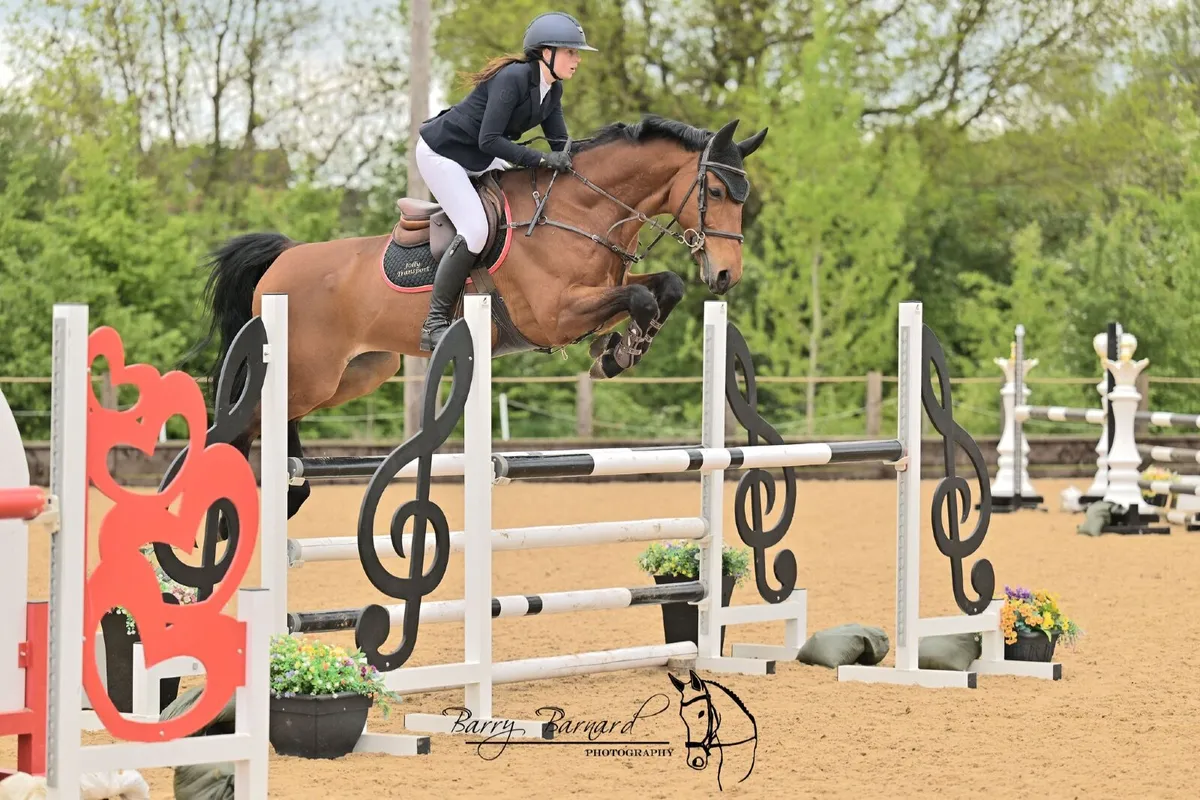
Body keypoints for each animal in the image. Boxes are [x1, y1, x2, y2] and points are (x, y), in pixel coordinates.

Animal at [188, 114, 767, 518]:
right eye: (716, 191)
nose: (726, 276)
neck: (579, 212)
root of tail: (282, 259)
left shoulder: (600, 295)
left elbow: (662, 288)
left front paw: (619, 350)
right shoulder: (555, 315)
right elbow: (642, 300)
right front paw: (617, 355)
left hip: (353, 374)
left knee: (275, 419)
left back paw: (290, 493)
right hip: (310, 372)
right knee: (237, 427)